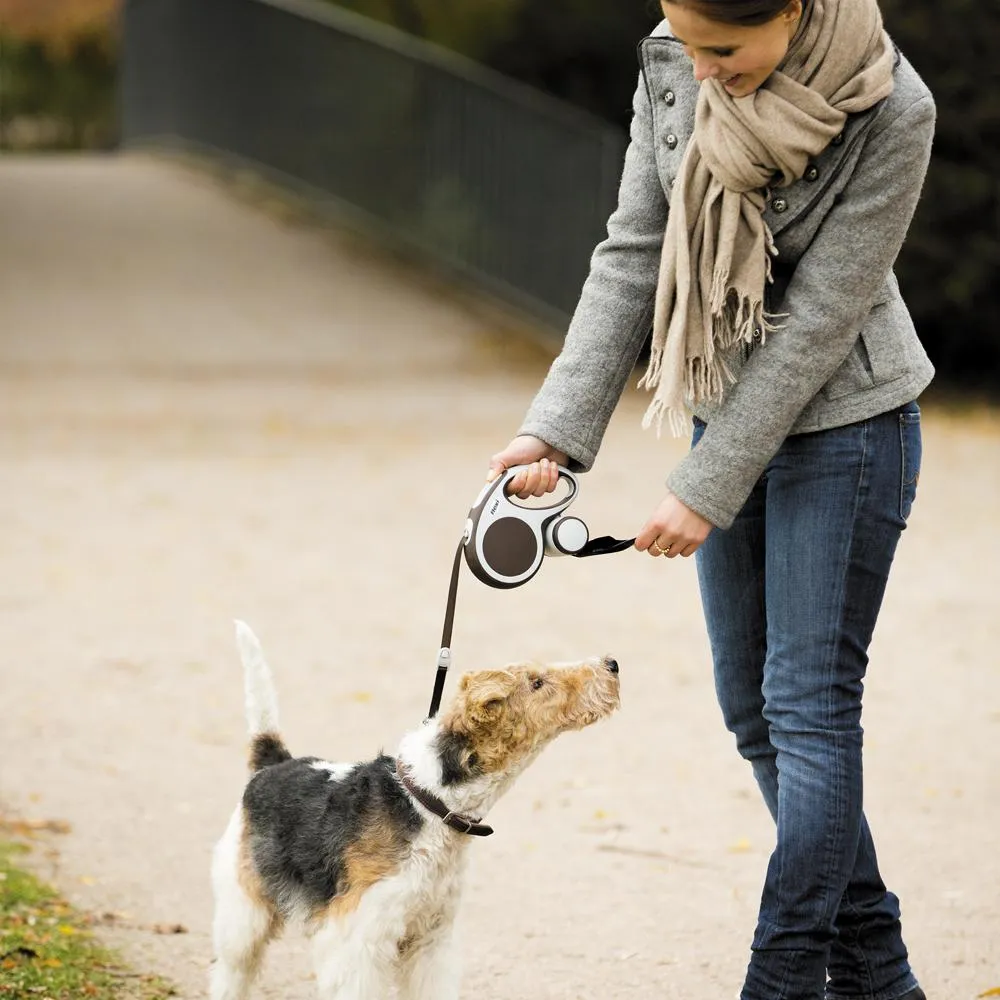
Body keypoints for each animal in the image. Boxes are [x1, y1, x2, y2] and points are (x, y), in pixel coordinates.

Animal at [210, 620, 616, 996]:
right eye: (536, 682)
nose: (612, 664)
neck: (429, 803)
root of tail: (273, 762)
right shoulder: (359, 941)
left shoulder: (432, 938)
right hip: (244, 908)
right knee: (230, 970)